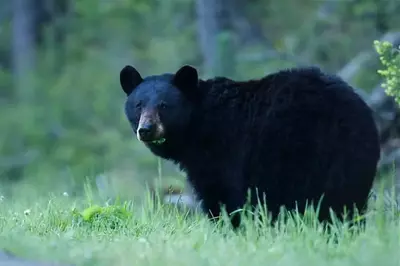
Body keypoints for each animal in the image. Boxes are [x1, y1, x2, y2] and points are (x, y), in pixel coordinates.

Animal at [119, 65, 382, 229]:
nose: (146, 129)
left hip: (298, 155)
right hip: (354, 162)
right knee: (348, 204)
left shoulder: (222, 155)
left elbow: (221, 197)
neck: (198, 125)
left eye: (164, 105)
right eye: (138, 105)